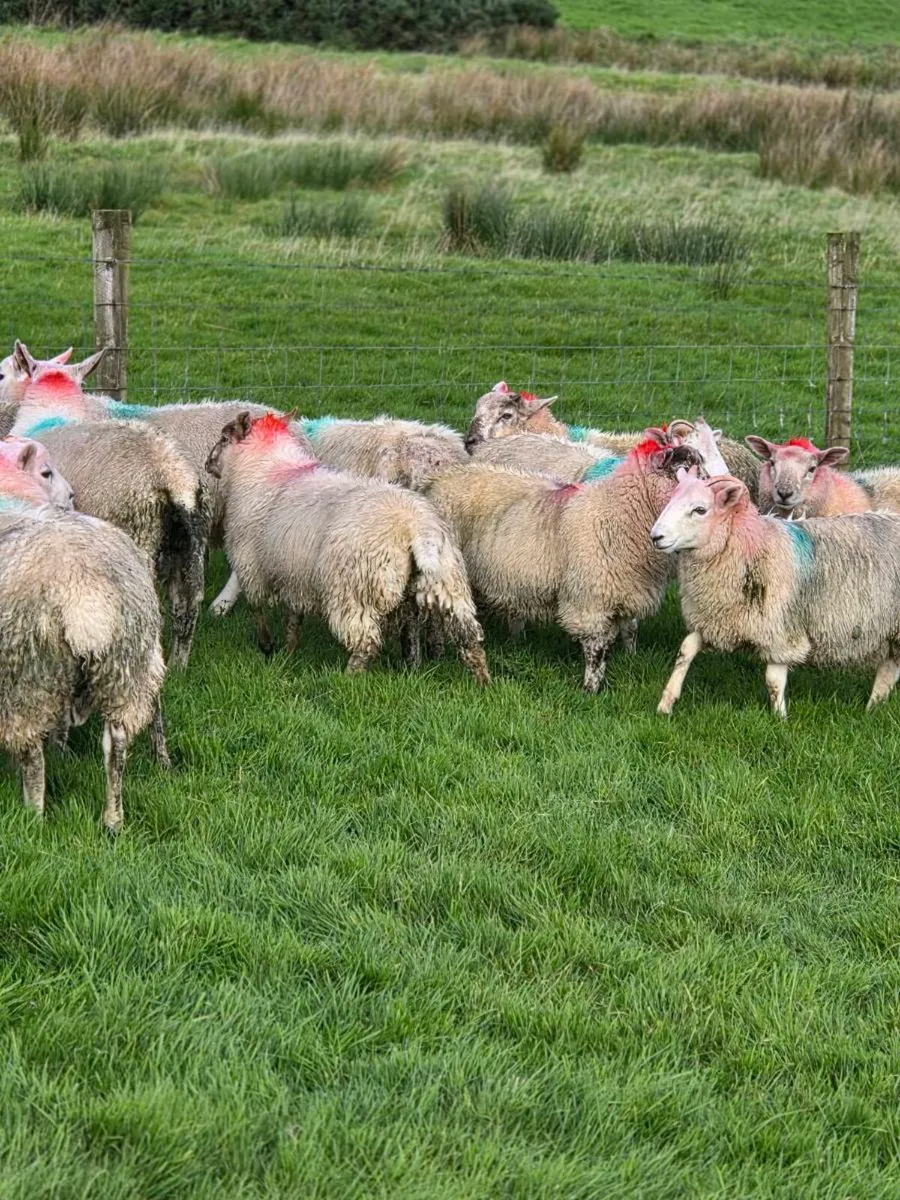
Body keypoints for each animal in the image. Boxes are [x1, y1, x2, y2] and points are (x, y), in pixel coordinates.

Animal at [0, 480, 168, 832]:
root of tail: (85, 594)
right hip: (126, 666)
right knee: (116, 745)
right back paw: (113, 820)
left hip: (26, 677)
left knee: (33, 757)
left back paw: (34, 816)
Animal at [205, 412, 490, 684]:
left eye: (223, 438)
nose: (207, 464)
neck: (268, 469)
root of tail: (416, 530)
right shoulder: (294, 573)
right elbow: (294, 618)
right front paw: (288, 651)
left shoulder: (251, 565)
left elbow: (257, 609)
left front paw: (267, 646)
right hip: (448, 584)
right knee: (465, 639)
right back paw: (474, 680)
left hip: (353, 590)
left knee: (366, 642)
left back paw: (348, 678)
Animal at [426, 433, 703, 692]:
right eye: (683, 472)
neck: (617, 512)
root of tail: (440, 480)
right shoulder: (590, 601)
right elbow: (597, 650)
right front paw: (590, 690)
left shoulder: (626, 587)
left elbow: (630, 630)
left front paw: (630, 658)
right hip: (446, 572)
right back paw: (439, 652)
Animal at [650, 469, 900, 717]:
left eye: (700, 509)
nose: (656, 537)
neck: (754, 544)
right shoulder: (716, 618)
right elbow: (685, 650)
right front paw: (666, 703)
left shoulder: (779, 629)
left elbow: (773, 680)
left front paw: (780, 718)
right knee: (890, 669)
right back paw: (872, 707)